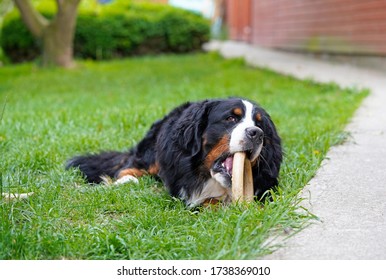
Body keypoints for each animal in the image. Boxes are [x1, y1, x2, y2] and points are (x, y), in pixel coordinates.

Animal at [66, 98, 282, 206]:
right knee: (128, 168)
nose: (256, 134)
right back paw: (127, 181)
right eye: (231, 118)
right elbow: (205, 201)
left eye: (259, 124)